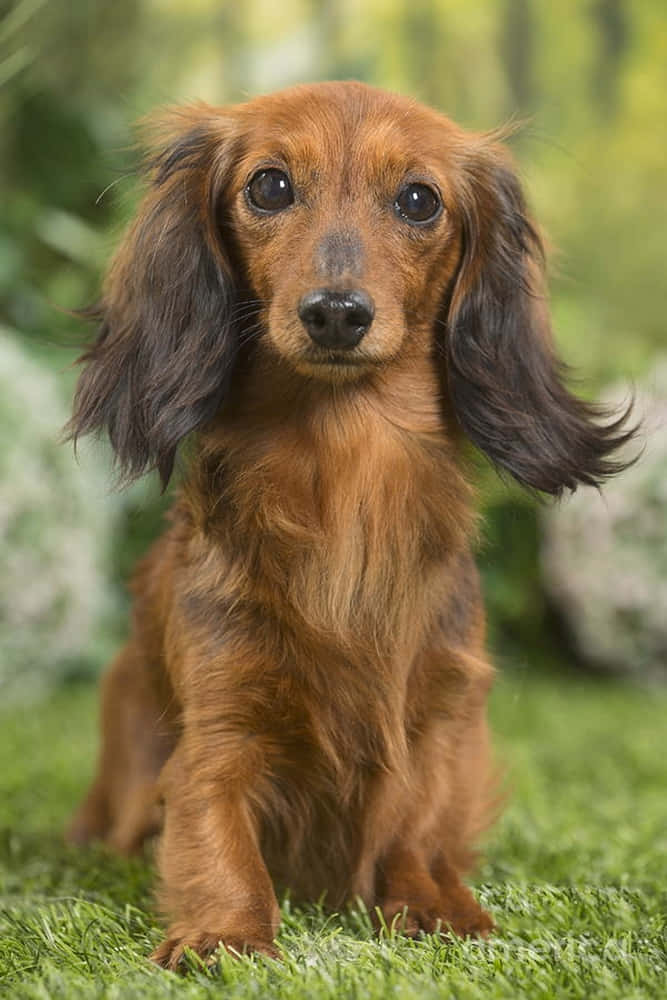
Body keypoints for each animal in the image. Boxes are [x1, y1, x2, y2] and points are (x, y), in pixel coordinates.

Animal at [65, 82, 636, 972]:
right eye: (268, 187)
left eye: (418, 200)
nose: (335, 314)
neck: (345, 472)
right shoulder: (218, 723)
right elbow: (217, 834)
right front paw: (223, 933)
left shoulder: (437, 716)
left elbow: (415, 824)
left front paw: (433, 903)